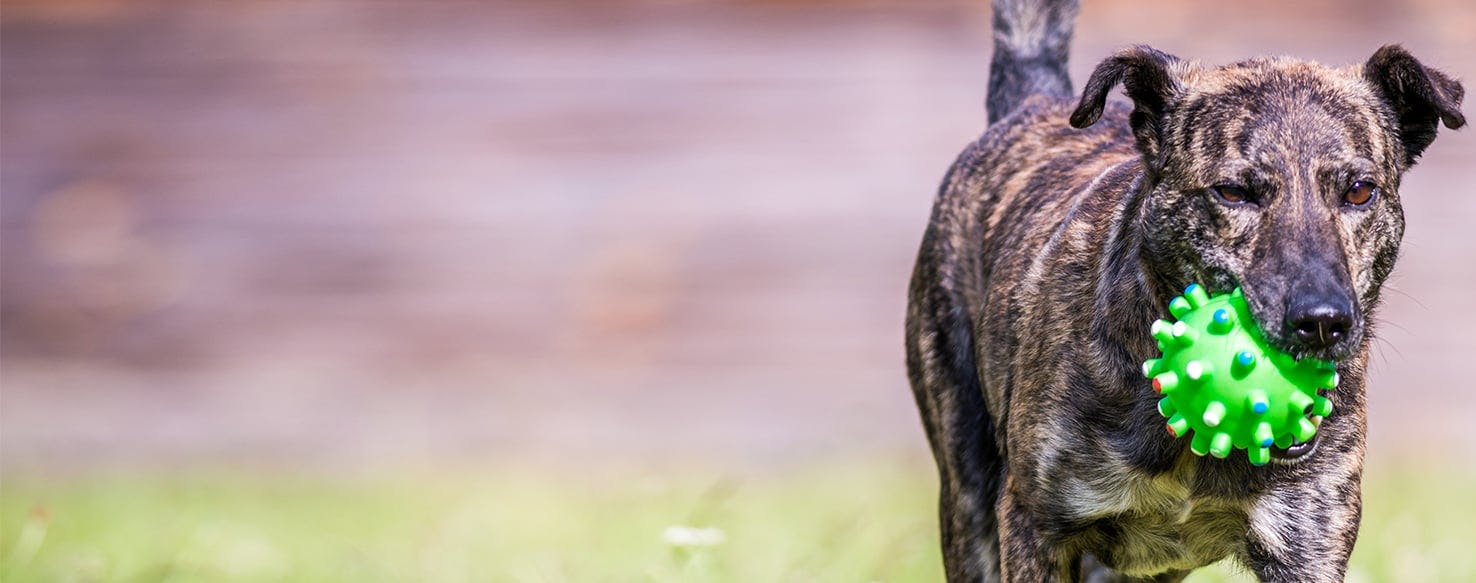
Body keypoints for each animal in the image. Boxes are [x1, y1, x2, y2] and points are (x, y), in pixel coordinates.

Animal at [903, 1, 1458, 583]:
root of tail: (1033, 102)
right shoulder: (1036, 528)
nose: (1323, 321)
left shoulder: (1307, 542)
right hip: (968, 499)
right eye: (1233, 192)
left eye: (1359, 191)